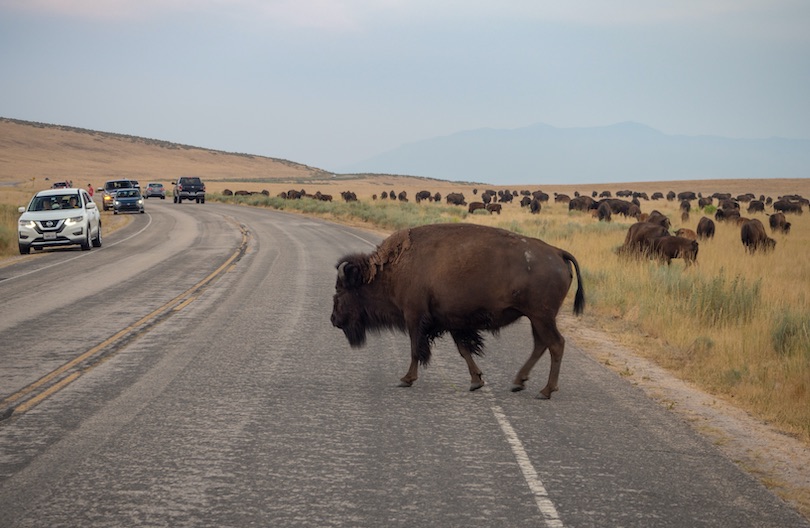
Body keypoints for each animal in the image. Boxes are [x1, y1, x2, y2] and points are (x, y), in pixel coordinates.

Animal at [332, 223, 584, 400]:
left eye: (340, 291)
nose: (333, 319)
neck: (393, 268)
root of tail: (558, 252)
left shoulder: (414, 316)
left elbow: (416, 349)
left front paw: (406, 379)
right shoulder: (453, 322)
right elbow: (464, 350)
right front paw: (476, 381)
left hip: (541, 316)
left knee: (555, 344)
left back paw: (545, 391)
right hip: (536, 318)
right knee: (541, 344)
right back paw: (518, 383)